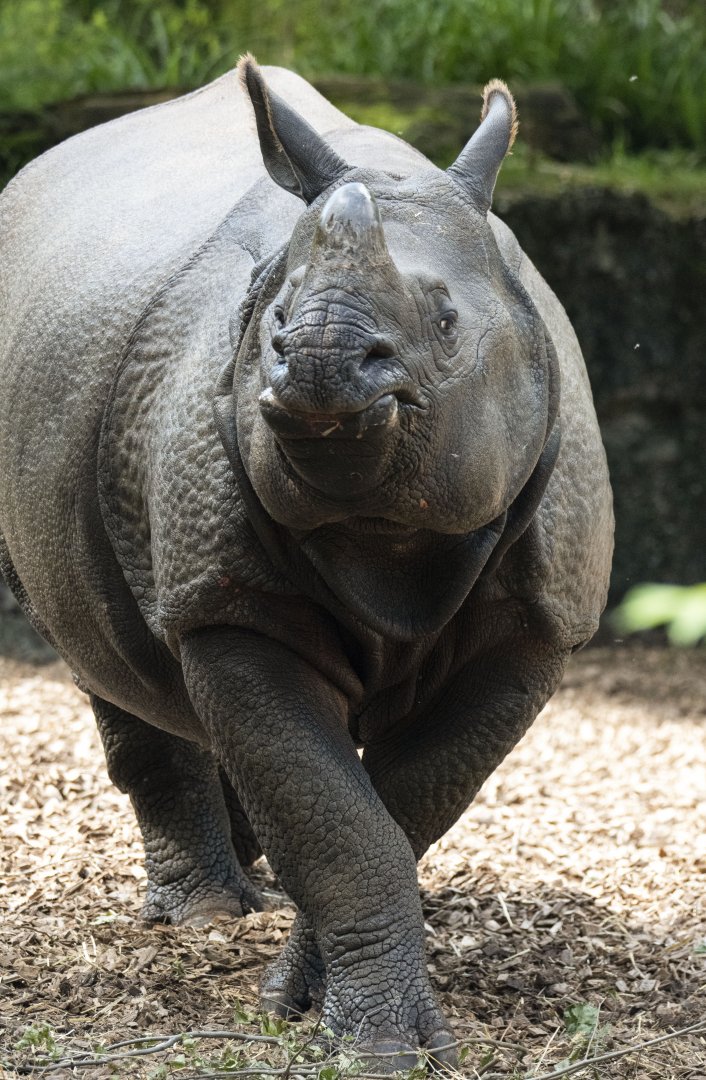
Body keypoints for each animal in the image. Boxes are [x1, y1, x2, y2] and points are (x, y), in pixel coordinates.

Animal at [0, 58, 612, 1068]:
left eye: (448, 320)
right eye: (277, 320)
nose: (314, 364)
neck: (388, 539)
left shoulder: (534, 628)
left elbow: (399, 809)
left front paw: (319, 1005)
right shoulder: (230, 605)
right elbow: (339, 822)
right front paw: (372, 1044)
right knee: (103, 653)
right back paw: (207, 916)